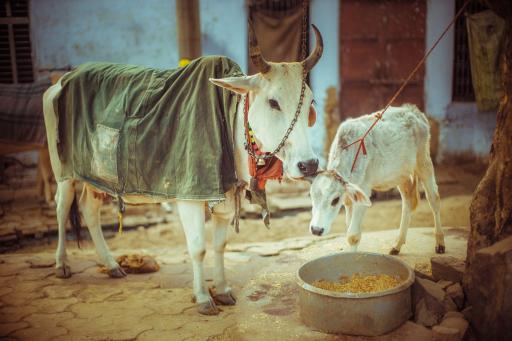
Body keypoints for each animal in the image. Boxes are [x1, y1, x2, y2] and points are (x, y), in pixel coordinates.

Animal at [43, 25, 324, 314]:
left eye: (310, 103)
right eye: (273, 102)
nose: (309, 164)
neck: (229, 118)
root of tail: (61, 81)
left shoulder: (226, 196)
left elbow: (220, 245)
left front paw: (223, 290)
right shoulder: (190, 197)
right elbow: (198, 247)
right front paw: (202, 297)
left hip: (95, 178)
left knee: (89, 209)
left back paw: (111, 266)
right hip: (64, 171)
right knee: (62, 207)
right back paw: (62, 264)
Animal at [308, 103, 444, 255]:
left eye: (335, 200)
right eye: (311, 196)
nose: (316, 230)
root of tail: (413, 110)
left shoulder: (364, 189)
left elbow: (353, 236)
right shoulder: (349, 198)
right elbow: (349, 228)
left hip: (424, 160)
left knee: (434, 199)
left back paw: (440, 243)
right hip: (401, 174)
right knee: (408, 201)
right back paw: (397, 245)